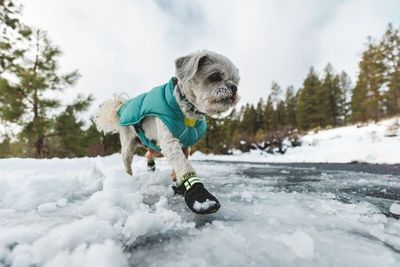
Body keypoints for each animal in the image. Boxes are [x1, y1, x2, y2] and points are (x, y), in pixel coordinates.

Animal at [94, 50, 239, 216]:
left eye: (236, 81)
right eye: (215, 76)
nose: (234, 88)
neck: (187, 111)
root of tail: (121, 107)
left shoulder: (185, 145)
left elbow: (181, 162)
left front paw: (178, 182)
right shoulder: (169, 142)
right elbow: (184, 164)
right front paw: (200, 196)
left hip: (155, 147)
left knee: (148, 154)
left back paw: (151, 168)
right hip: (129, 144)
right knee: (127, 163)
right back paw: (127, 181)